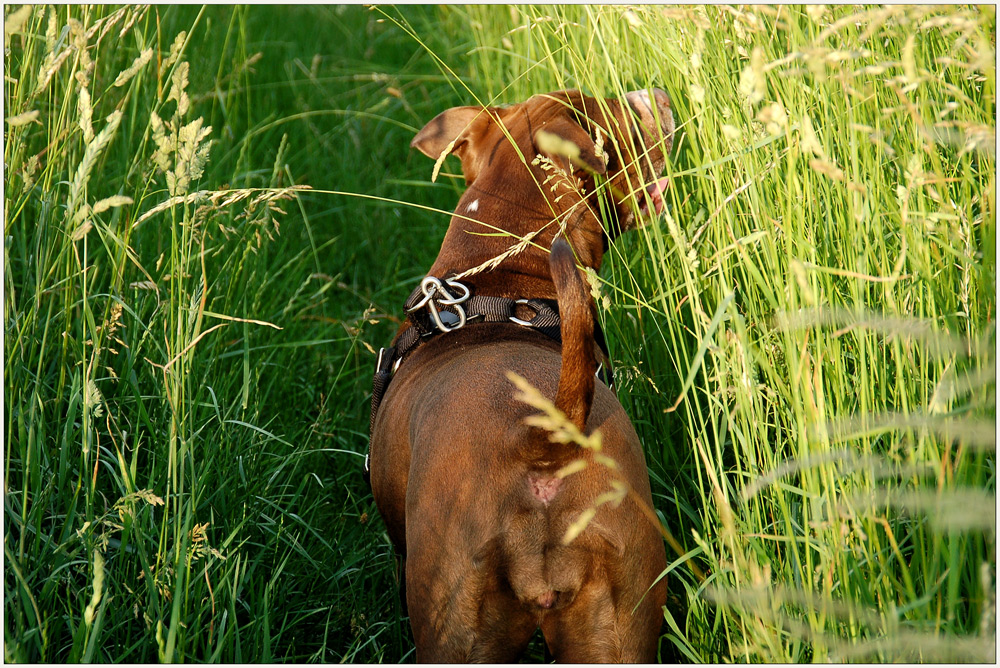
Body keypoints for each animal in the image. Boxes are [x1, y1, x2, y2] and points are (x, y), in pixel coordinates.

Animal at [372, 90, 676, 664]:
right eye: (617, 114)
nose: (653, 95)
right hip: (617, 620)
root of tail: (542, 441)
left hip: (454, 627)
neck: (501, 279)